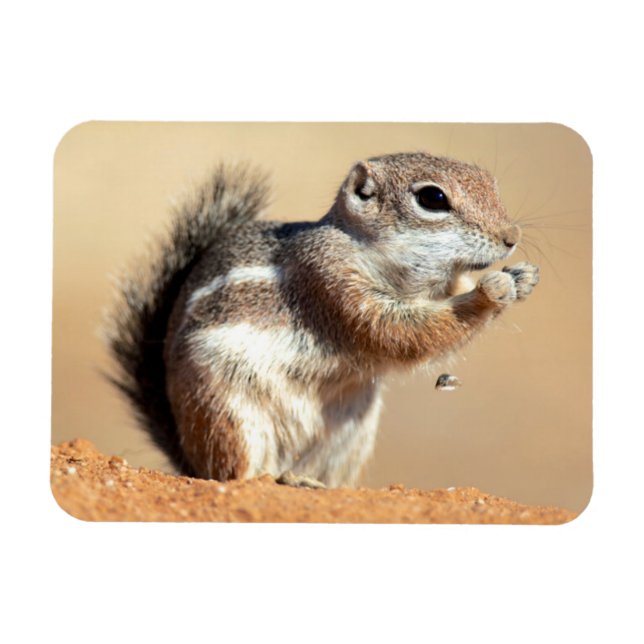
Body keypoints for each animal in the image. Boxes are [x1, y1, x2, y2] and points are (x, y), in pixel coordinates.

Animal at [105, 152, 539, 488]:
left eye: (490, 182)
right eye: (432, 198)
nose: (511, 237)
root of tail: (188, 456)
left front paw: (523, 278)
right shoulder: (329, 281)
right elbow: (399, 332)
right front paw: (490, 291)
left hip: (350, 436)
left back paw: (311, 482)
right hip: (226, 412)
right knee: (235, 473)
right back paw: (277, 478)